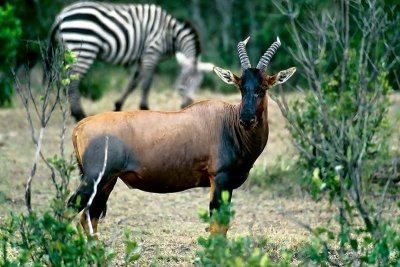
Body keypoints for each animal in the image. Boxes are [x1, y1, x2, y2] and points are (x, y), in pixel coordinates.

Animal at [47, 1, 214, 122]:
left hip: (69, 50)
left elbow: (132, 83)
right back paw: (79, 115)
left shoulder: (142, 57)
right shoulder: (151, 53)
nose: (188, 105)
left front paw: (118, 106)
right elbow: (146, 83)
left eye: (198, 83)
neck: (170, 35)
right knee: (73, 81)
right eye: (184, 81)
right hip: (84, 47)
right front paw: (145, 108)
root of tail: (61, 16)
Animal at [67, 36, 296, 237]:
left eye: (263, 87)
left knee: (89, 217)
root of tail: (81, 125)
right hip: (94, 179)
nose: (246, 119)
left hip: (107, 182)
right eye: (240, 87)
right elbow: (217, 226)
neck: (227, 122)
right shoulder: (220, 179)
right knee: (70, 209)